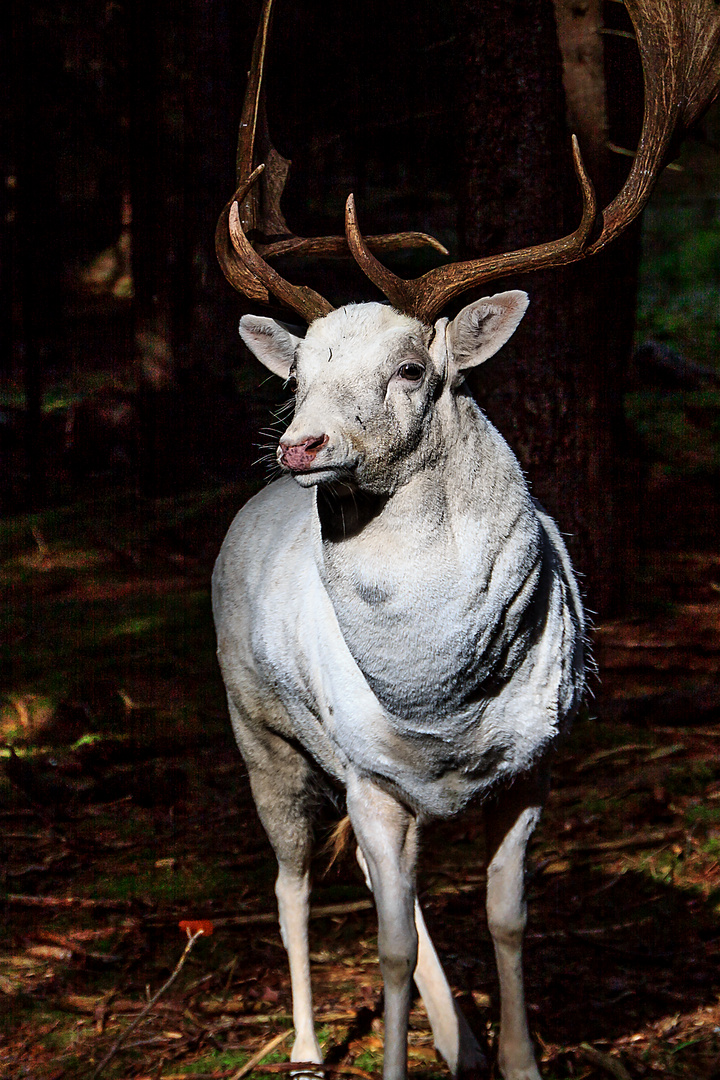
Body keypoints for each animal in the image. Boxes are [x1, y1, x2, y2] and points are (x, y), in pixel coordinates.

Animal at [211, 4, 720, 1075]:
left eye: (412, 368)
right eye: (299, 373)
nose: (299, 443)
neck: (446, 714)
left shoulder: (536, 767)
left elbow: (507, 921)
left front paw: (520, 1057)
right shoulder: (369, 776)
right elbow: (392, 953)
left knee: (376, 884)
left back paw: (464, 1041)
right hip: (263, 734)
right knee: (293, 883)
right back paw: (308, 1047)